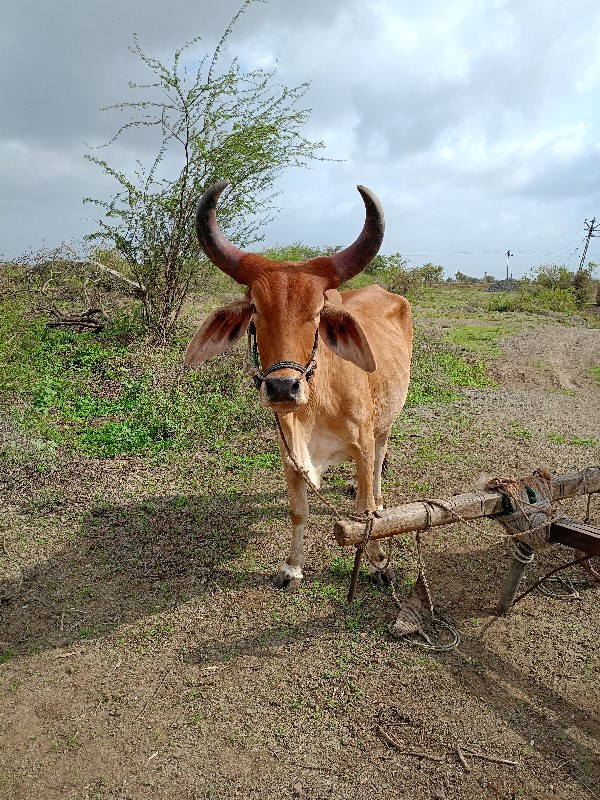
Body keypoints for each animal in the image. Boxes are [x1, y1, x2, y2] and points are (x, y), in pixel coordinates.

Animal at [186, 181, 412, 588]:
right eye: (255, 309)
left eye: (318, 311)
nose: (282, 389)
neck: (317, 406)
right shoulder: (289, 452)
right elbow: (298, 511)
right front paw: (292, 567)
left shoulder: (363, 443)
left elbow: (364, 513)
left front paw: (377, 563)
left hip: (385, 422)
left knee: (378, 468)